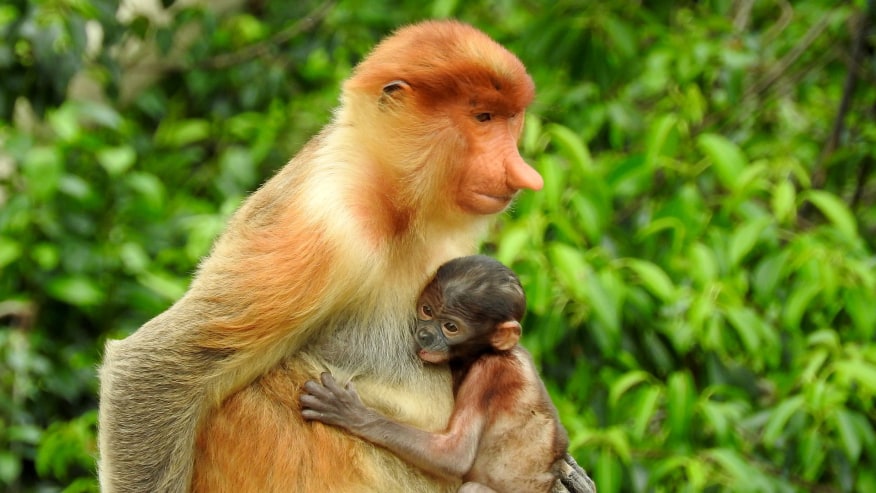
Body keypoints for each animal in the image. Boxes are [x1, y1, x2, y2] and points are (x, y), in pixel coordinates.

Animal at [302, 256, 572, 490]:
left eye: (450, 327)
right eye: (427, 311)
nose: (424, 335)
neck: (489, 351)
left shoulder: (488, 372)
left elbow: (455, 455)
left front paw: (350, 413)